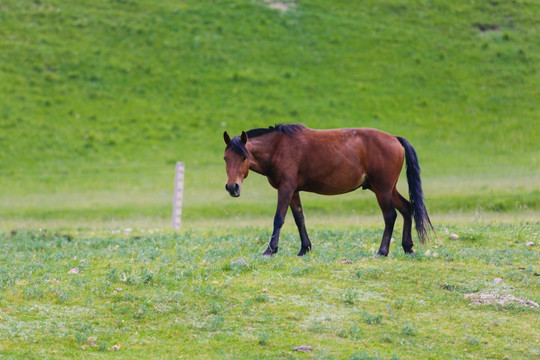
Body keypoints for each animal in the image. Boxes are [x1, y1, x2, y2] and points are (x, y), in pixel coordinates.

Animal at [221, 124, 432, 256]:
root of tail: (394, 138)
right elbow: (299, 219)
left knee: (390, 215)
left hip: (382, 189)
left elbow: (279, 219)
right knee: (407, 209)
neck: (278, 147)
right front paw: (304, 248)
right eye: (225, 158)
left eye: (243, 157)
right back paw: (408, 247)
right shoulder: (294, 191)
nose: (232, 187)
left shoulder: (286, 188)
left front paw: (270, 250)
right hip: (386, 188)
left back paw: (382, 251)